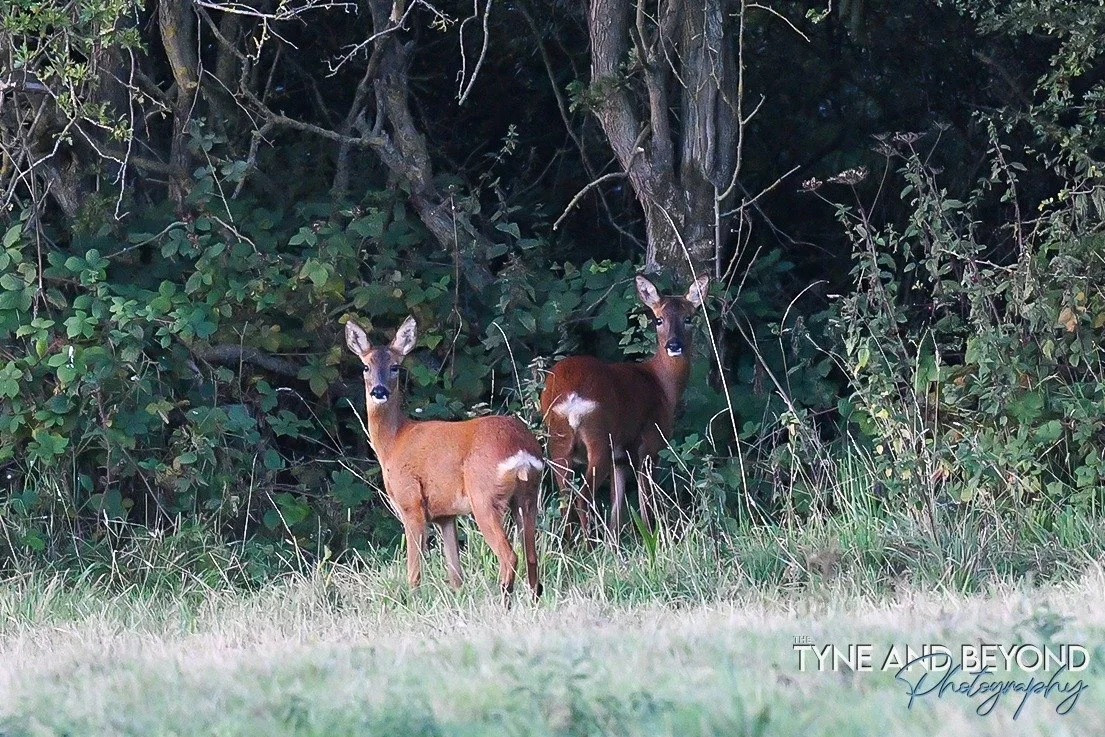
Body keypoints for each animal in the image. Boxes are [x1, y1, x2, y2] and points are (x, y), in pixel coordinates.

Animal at [345, 316, 544, 600]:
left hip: (484, 496)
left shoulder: (411, 503)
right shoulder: (445, 515)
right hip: (528, 497)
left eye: (395, 367)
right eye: (365, 366)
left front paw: (412, 600)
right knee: (532, 557)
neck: (394, 443)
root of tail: (522, 450)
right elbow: (456, 575)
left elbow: (414, 571)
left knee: (510, 556)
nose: (379, 391)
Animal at [539, 273, 709, 542]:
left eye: (688, 318)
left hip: (558, 440)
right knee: (583, 497)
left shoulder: (620, 457)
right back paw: (588, 545)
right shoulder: (650, 444)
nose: (674, 345)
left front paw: (614, 545)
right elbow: (645, 502)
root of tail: (571, 395)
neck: (661, 384)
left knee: (565, 498)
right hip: (599, 438)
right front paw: (653, 539)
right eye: (658, 319)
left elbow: (616, 510)